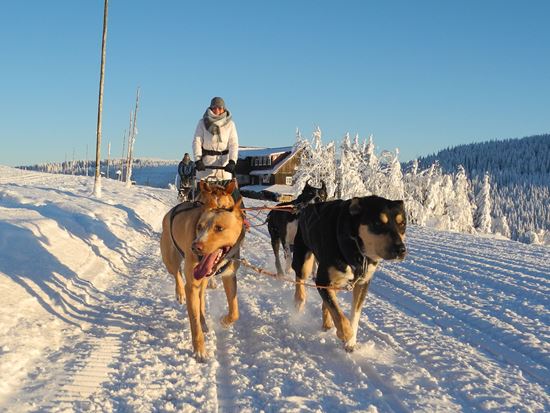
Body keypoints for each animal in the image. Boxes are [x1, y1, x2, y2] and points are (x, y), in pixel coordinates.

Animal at [160, 182, 246, 358]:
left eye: (219, 228)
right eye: (199, 227)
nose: (195, 247)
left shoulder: (229, 276)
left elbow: (234, 311)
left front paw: (224, 321)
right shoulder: (192, 285)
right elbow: (194, 322)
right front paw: (199, 350)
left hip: (203, 279)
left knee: (201, 298)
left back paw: (205, 321)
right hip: (170, 259)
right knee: (177, 274)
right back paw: (180, 293)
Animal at [296, 195, 408, 350]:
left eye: (402, 223)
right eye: (377, 223)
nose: (401, 250)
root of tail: (307, 207)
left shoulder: (362, 283)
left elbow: (354, 313)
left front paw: (351, 340)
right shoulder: (322, 280)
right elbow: (339, 314)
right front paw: (346, 333)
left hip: (338, 282)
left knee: (327, 303)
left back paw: (327, 323)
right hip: (305, 264)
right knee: (300, 281)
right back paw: (299, 301)